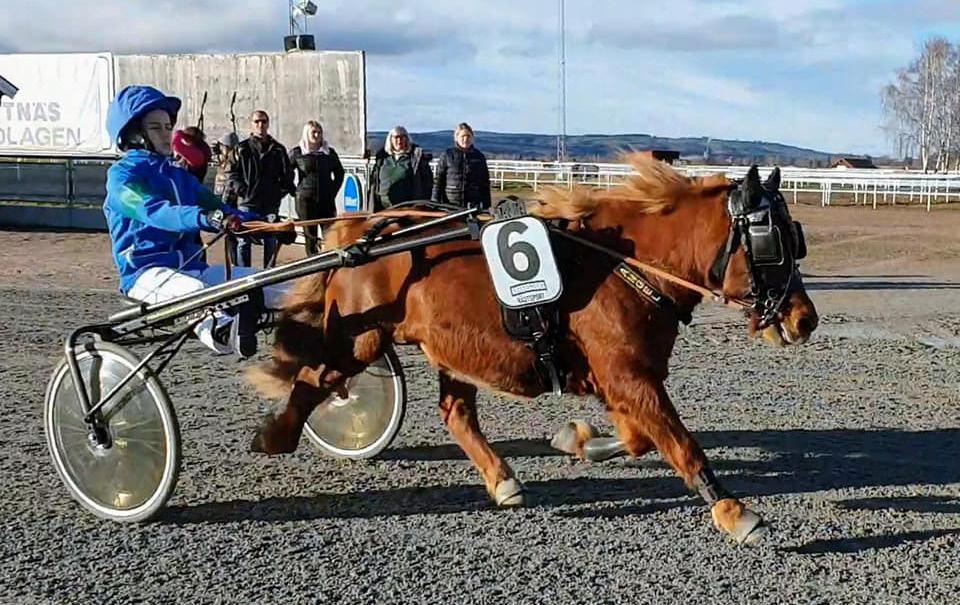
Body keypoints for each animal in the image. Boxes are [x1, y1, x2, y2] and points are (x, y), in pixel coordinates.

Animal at [248, 155, 816, 544]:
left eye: (796, 237)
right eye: (774, 243)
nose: (804, 318)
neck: (621, 266)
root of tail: (365, 229)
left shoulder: (623, 378)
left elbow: (639, 439)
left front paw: (579, 441)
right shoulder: (629, 375)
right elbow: (681, 444)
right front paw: (734, 512)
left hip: (453, 350)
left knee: (454, 412)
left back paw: (503, 480)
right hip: (360, 339)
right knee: (316, 378)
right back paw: (276, 434)